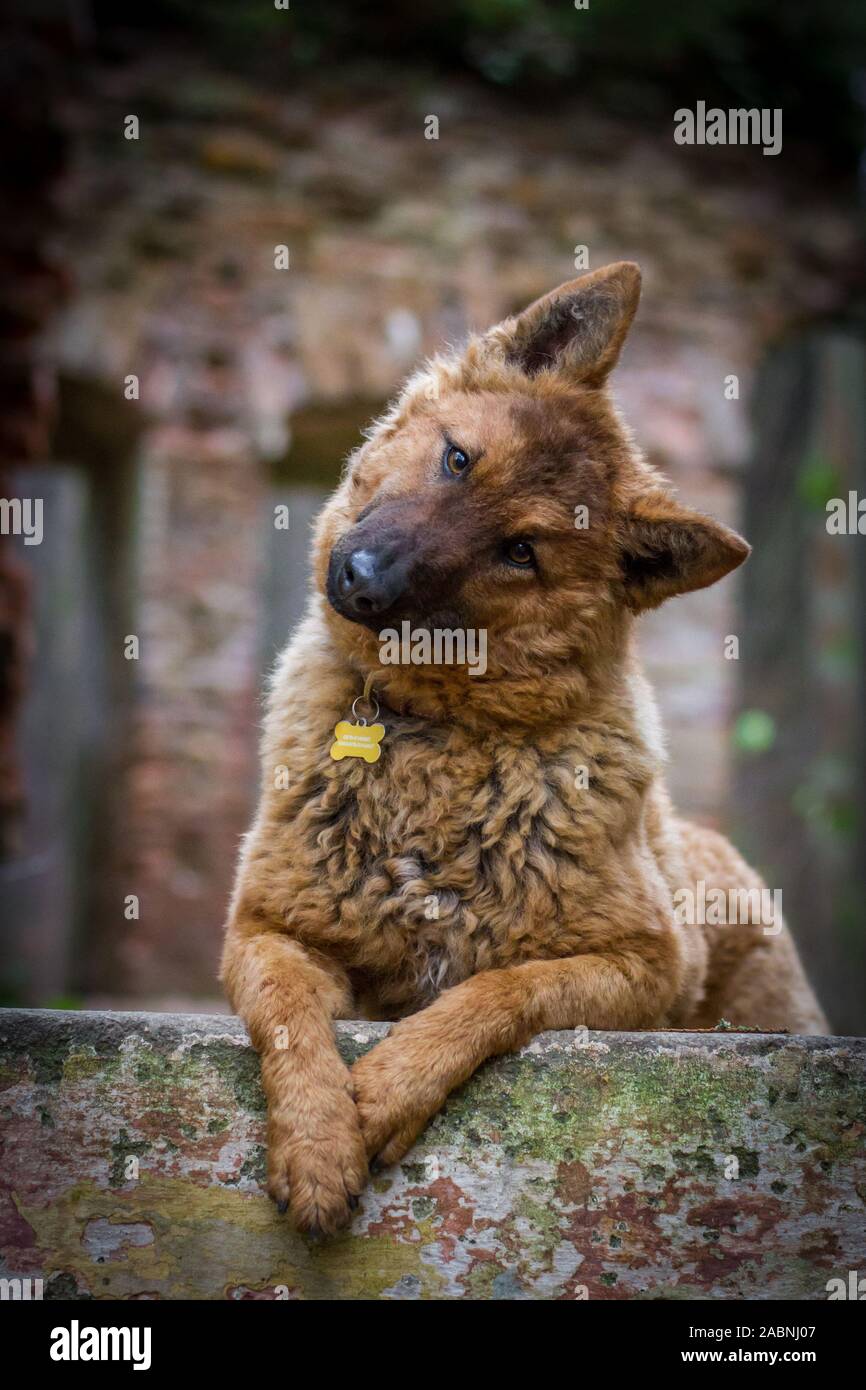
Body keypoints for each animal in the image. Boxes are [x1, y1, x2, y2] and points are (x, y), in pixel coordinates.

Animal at [219, 262, 828, 1239]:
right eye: (459, 459)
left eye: (520, 552)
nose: (362, 581)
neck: (438, 733)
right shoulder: (267, 931)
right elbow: (288, 1016)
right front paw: (317, 1143)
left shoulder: (647, 964)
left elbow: (498, 993)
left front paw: (384, 1090)